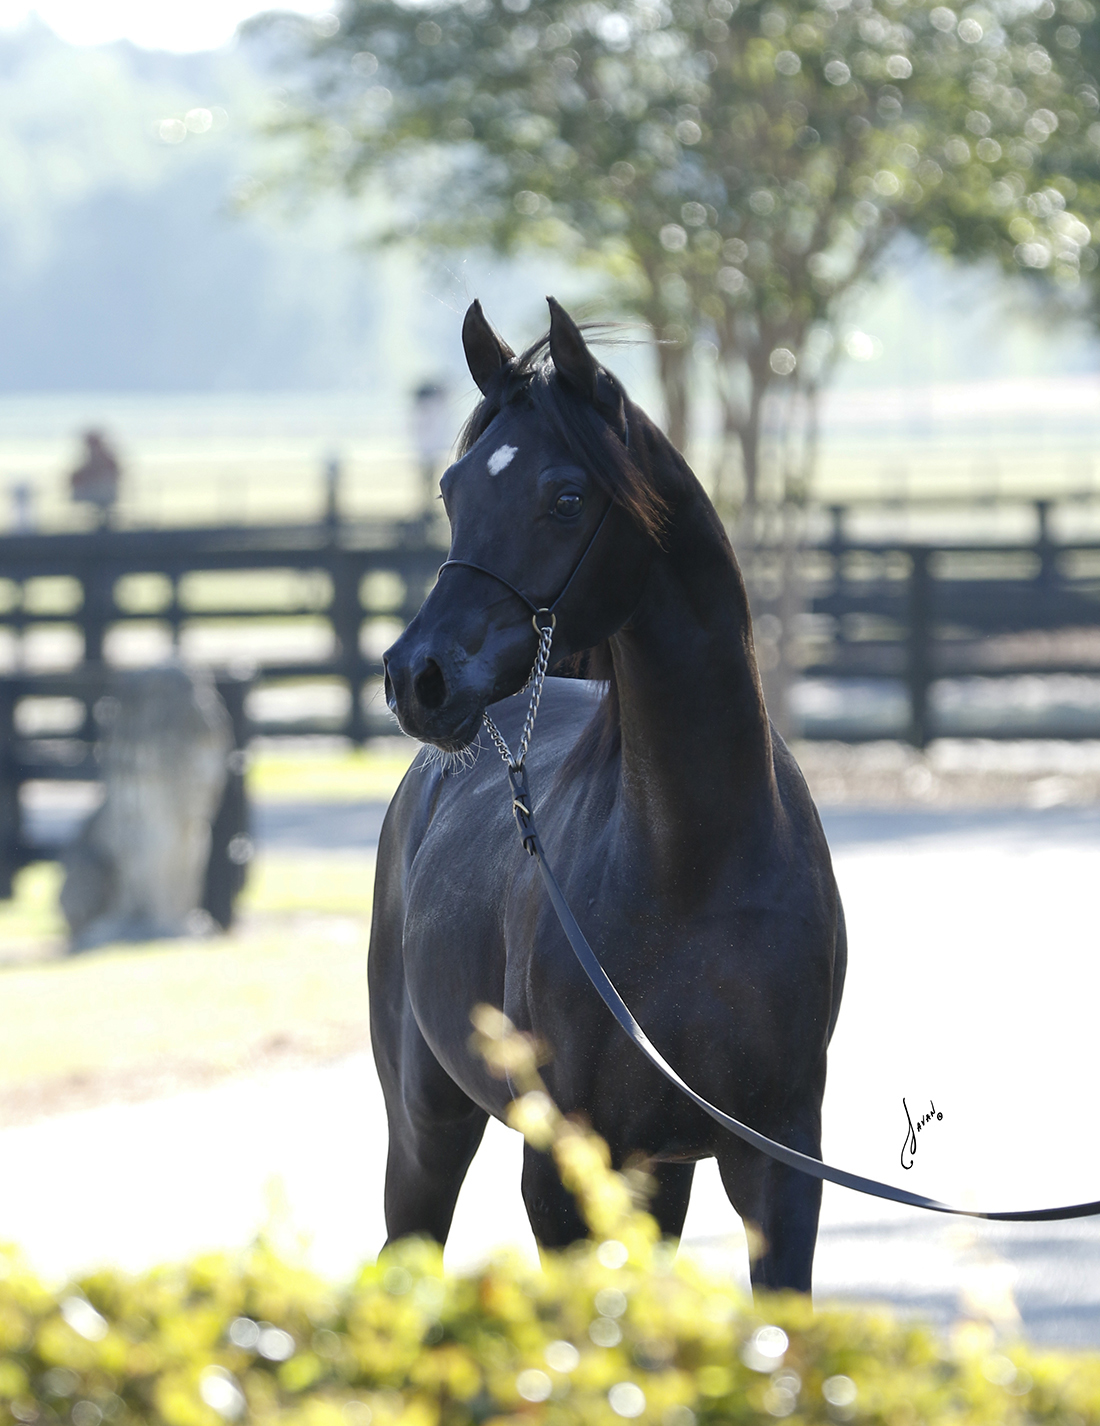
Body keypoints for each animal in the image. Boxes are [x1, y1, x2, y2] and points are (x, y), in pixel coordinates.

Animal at [372, 297, 846, 1293]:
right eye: (452, 490)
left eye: (565, 498)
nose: (415, 678)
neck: (691, 865)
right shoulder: (560, 1169)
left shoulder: (779, 1163)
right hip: (428, 1128)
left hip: (658, 1172)